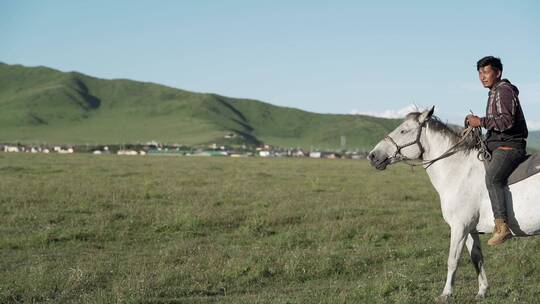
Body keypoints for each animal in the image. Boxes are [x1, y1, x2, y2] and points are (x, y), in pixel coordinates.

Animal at [368, 107, 540, 302]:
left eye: (404, 130)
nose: (373, 156)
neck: (458, 171)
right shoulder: (470, 229)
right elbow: (477, 258)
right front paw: (482, 291)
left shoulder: (459, 227)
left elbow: (453, 260)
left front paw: (446, 293)